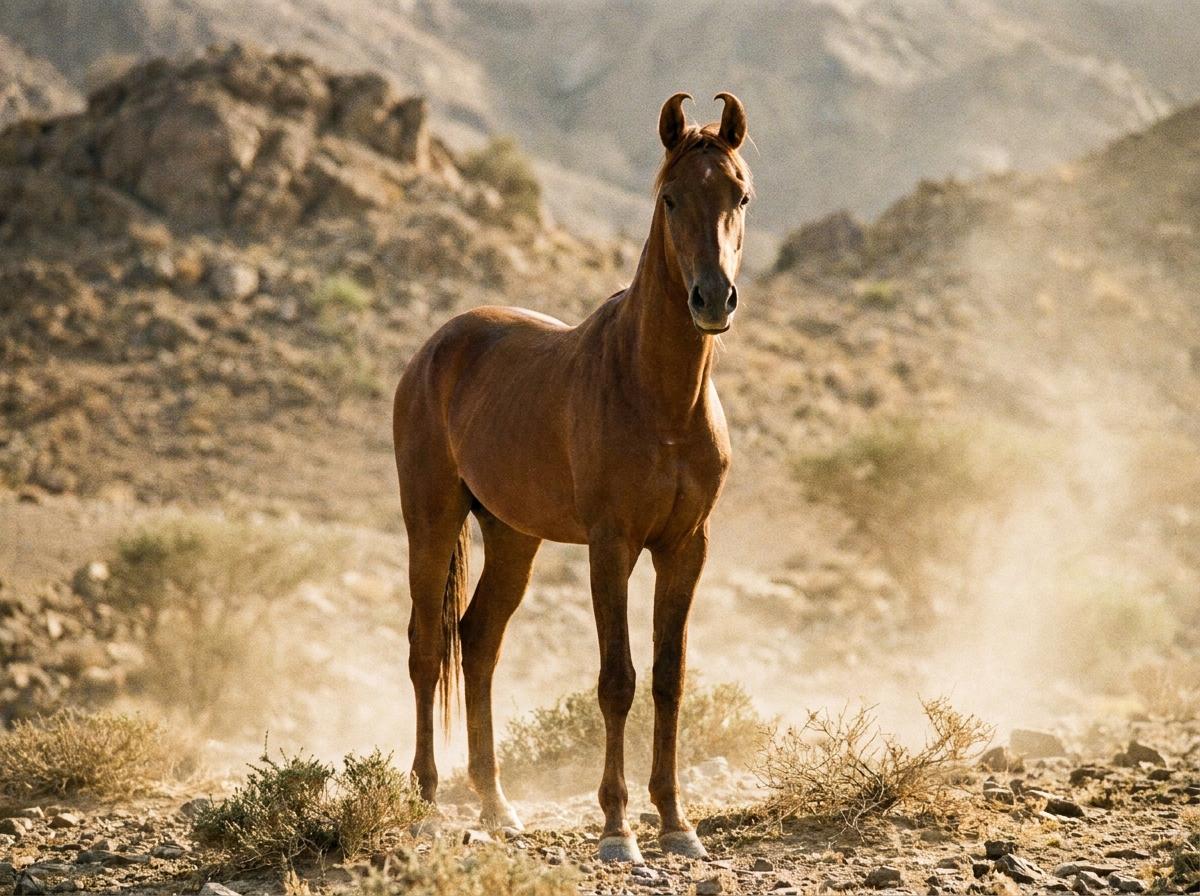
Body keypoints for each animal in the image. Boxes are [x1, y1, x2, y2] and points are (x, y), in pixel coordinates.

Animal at [392, 91, 752, 863]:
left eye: (740, 194)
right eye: (671, 198)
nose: (713, 299)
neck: (659, 395)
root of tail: (436, 347)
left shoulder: (687, 547)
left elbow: (670, 677)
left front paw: (676, 822)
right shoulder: (611, 546)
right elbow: (617, 680)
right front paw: (618, 829)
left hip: (513, 537)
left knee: (479, 643)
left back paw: (498, 807)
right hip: (430, 521)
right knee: (427, 648)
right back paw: (425, 802)